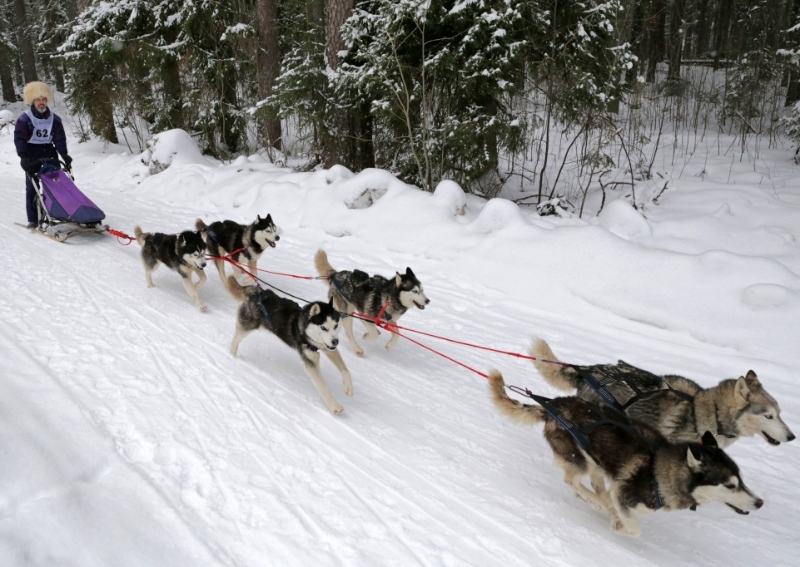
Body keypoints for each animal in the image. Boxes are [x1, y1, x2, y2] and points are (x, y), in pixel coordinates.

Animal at [227, 276, 353, 414]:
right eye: (323, 328)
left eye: (335, 326)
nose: (336, 341)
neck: (303, 328)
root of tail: (258, 291)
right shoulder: (311, 361)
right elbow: (323, 387)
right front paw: (334, 406)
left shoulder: (328, 347)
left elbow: (345, 369)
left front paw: (348, 388)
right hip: (248, 326)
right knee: (236, 338)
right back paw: (232, 354)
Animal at [488, 370, 763, 537]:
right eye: (729, 485)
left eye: (741, 481)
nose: (760, 502)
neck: (658, 470)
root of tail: (554, 405)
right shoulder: (623, 493)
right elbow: (633, 527)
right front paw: (617, 524)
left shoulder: (620, 488)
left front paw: (614, 516)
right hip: (580, 460)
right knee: (573, 482)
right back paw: (596, 502)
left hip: (597, 463)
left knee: (592, 487)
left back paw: (599, 500)